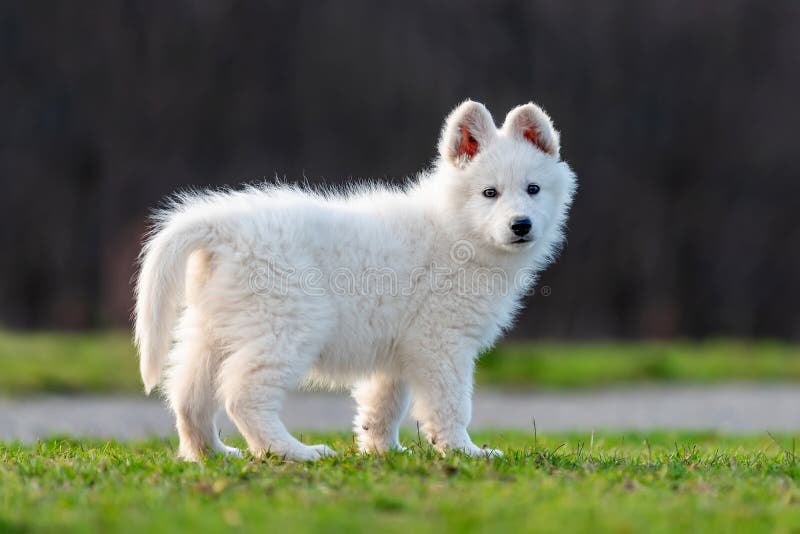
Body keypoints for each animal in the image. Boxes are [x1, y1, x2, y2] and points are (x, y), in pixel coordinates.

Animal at [136, 100, 576, 460]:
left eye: (533, 189)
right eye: (489, 193)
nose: (521, 225)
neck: (456, 230)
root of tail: (223, 225)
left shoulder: (398, 349)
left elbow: (384, 405)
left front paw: (383, 451)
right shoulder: (441, 341)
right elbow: (451, 403)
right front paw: (464, 451)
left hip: (213, 329)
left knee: (188, 397)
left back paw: (213, 454)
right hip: (288, 325)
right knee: (244, 396)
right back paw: (293, 452)